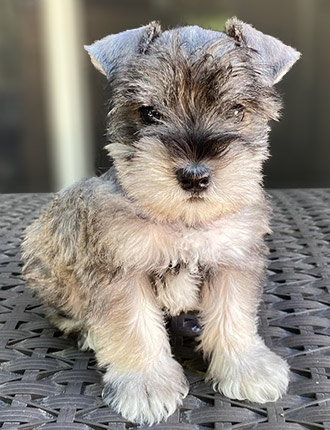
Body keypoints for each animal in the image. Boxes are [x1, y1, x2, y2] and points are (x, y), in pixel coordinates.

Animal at [22, 17, 300, 426]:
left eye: (236, 110)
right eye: (150, 113)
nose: (194, 176)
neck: (184, 222)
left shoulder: (233, 261)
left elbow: (233, 316)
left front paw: (247, 367)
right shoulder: (122, 271)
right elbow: (135, 327)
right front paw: (147, 385)